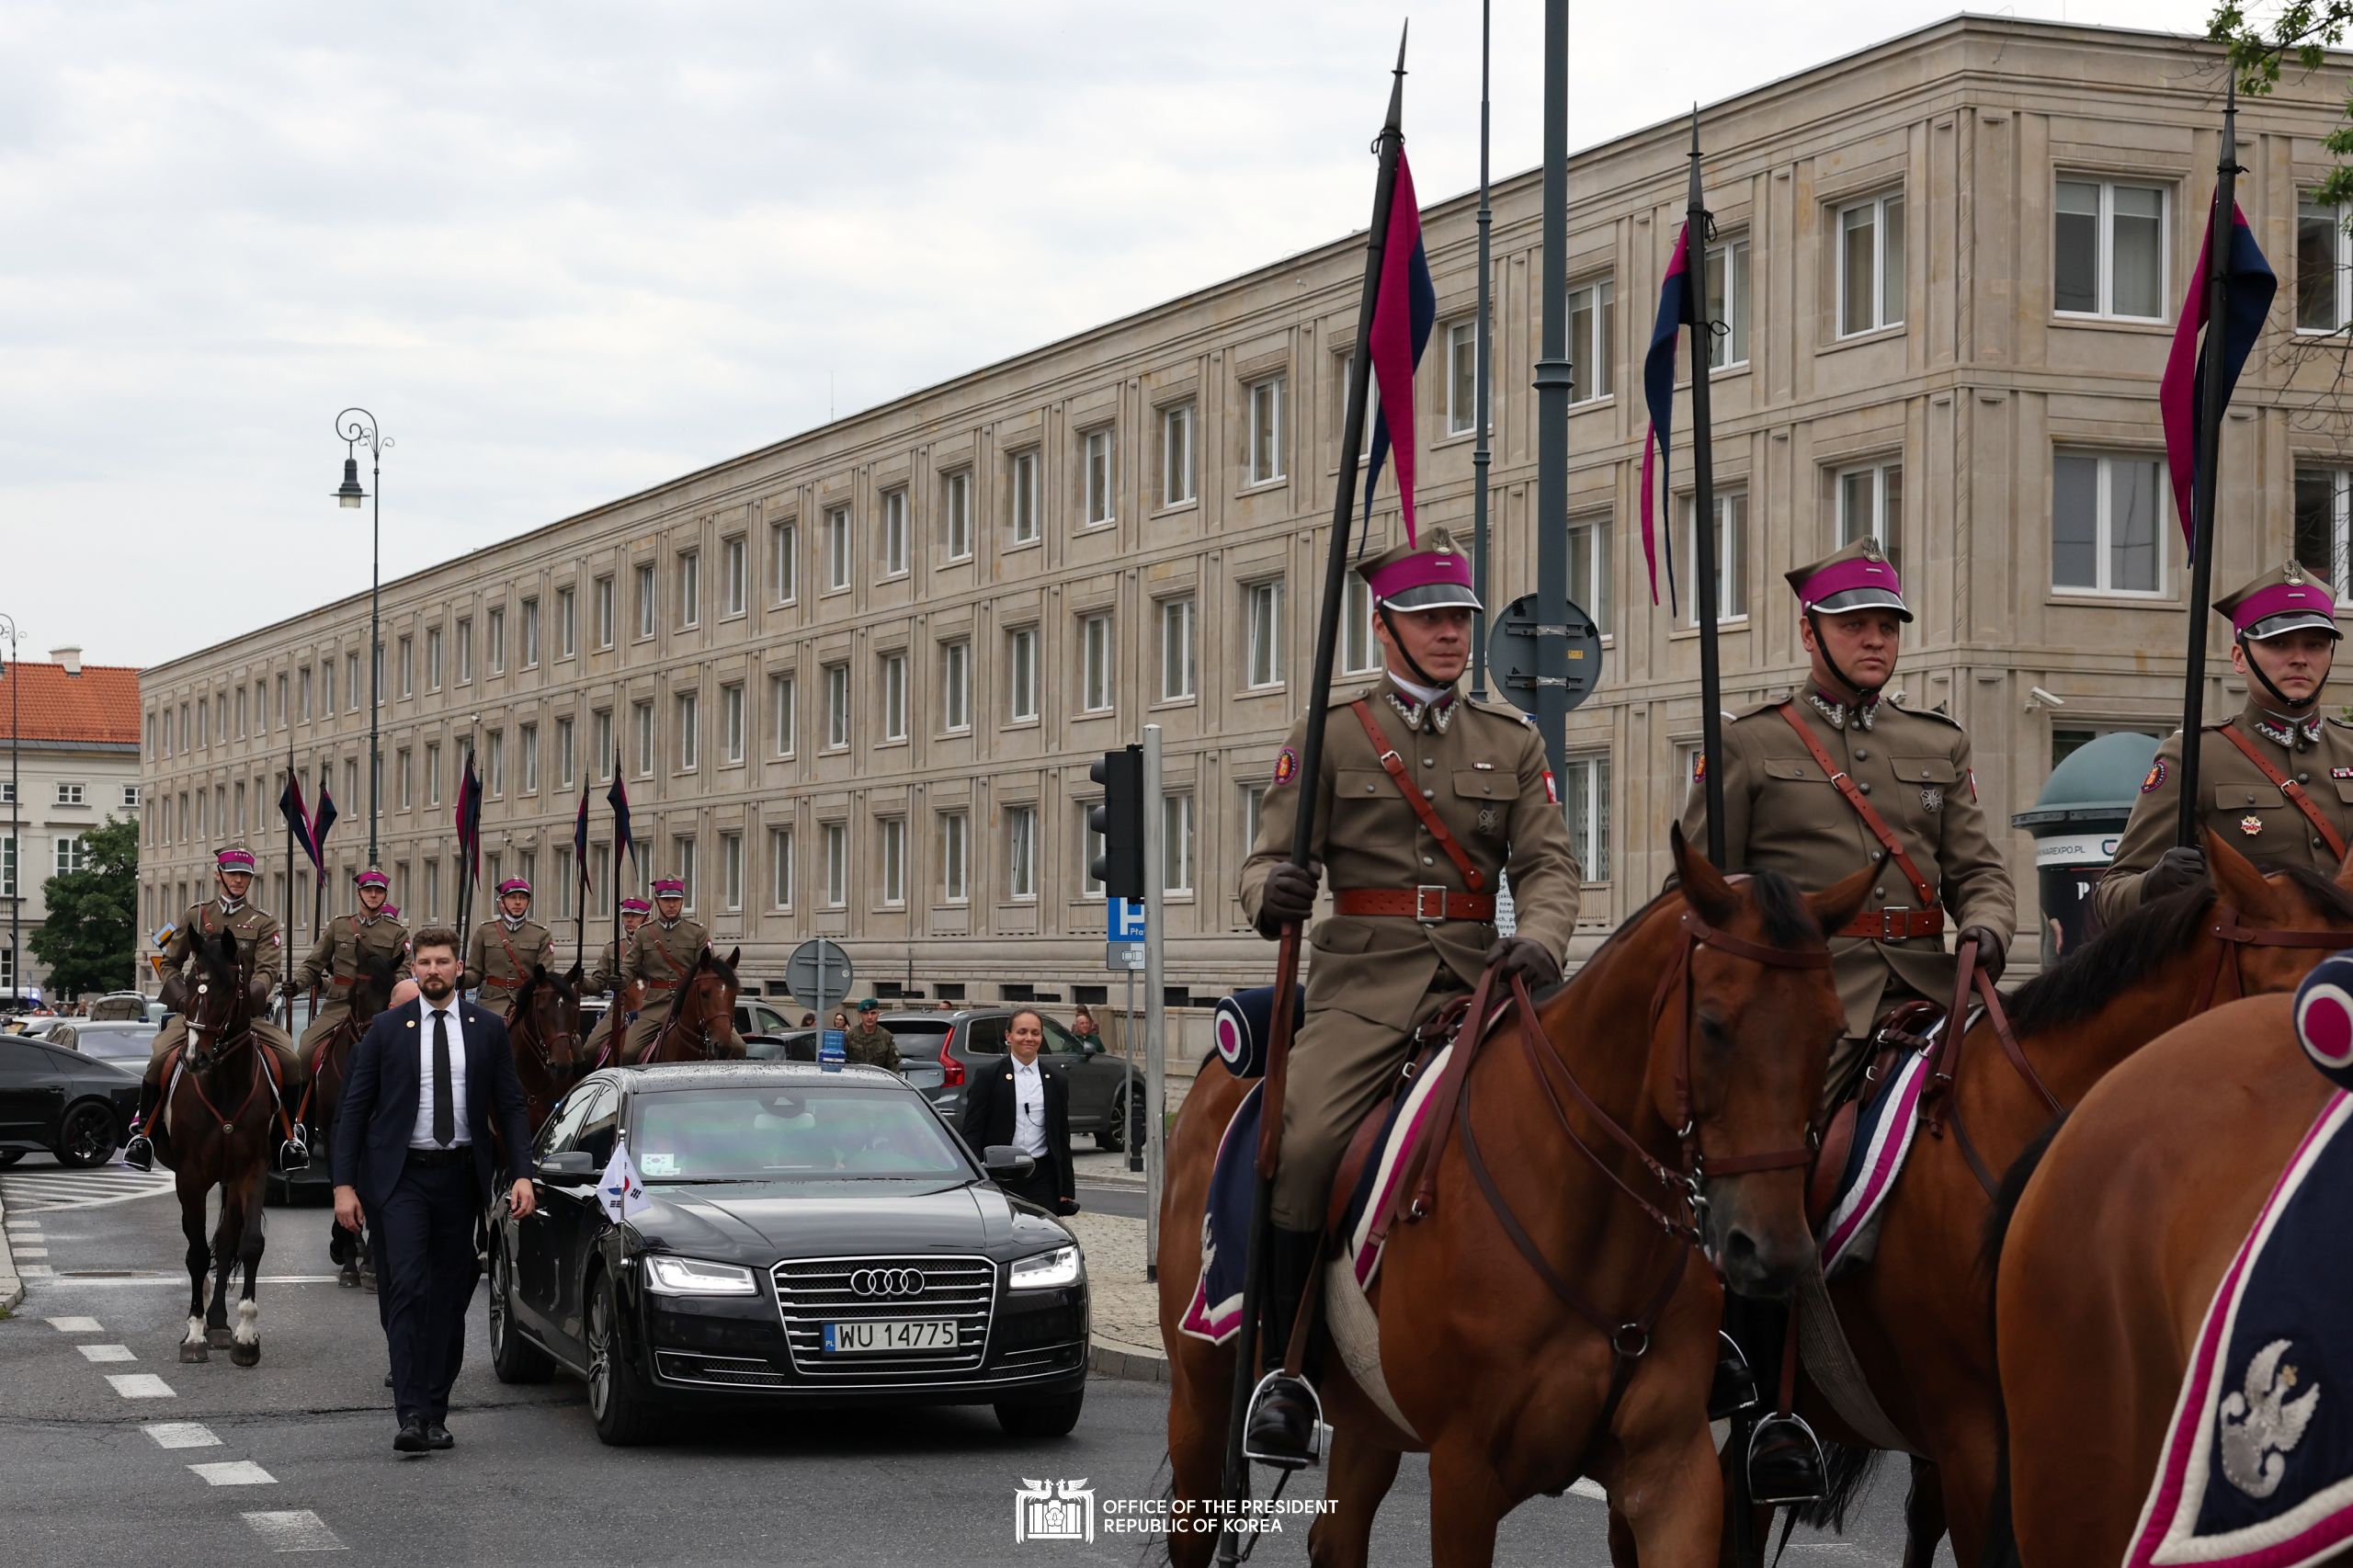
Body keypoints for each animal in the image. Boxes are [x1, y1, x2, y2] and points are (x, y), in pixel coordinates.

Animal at [160, 927, 294, 1356]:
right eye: (190, 984)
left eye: (225, 987)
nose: (193, 1058)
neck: (224, 1086)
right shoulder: (189, 1177)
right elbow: (197, 1253)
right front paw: (194, 1332)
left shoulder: (252, 1171)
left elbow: (247, 1243)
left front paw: (246, 1333)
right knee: (199, 1246)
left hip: (230, 1179)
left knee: (227, 1238)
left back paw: (219, 1321)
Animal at [1157, 828, 1872, 1562]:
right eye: (1710, 1024)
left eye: (1833, 1032)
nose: (1773, 1250)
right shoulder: (1465, 1475)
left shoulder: (1672, 1471)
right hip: (1201, 1400)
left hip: (1369, 1418)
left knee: (1337, 1534)